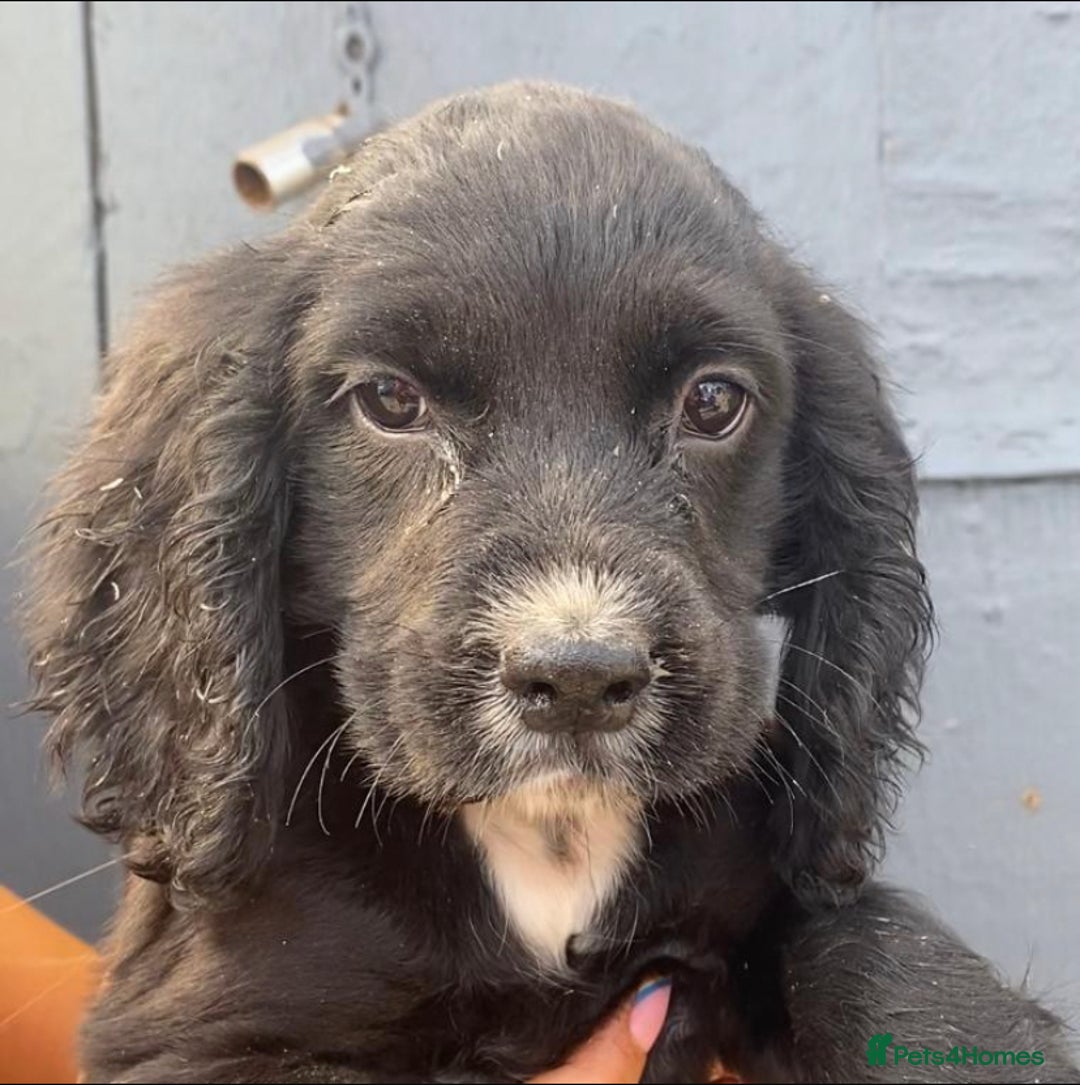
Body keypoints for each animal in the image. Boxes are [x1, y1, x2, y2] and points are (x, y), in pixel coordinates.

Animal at [24, 83, 1077, 1082]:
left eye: (713, 400)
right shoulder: (204, 1026)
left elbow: (886, 960)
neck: (547, 834)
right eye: (389, 400)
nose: (579, 676)